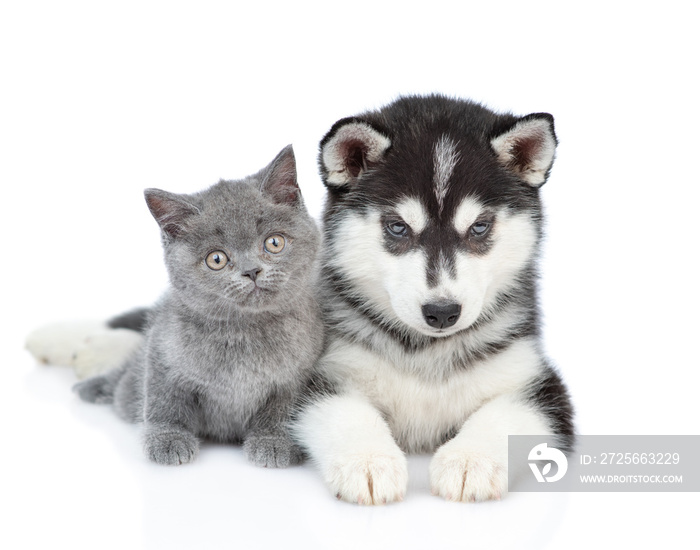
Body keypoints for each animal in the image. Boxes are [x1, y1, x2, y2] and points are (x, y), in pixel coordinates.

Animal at [72, 147, 324, 470]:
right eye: (216, 259)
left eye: (274, 242)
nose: (251, 271)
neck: (243, 332)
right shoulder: (163, 349)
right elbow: (164, 399)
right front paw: (168, 439)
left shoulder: (300, 374)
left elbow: (283, 409)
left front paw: (274, 441)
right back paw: (96, 386)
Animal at [292, 94, 576, 504]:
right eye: (398, 227)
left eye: (479, 227)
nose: (442, 312)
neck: (426, 351)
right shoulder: (321, 372)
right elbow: (344, 410)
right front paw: (369, 460)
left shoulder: (542, 386)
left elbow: (506, 415)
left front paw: (470, 459)